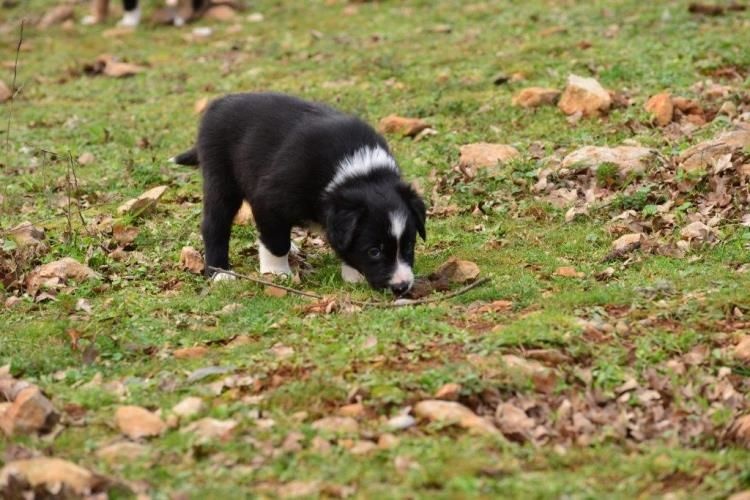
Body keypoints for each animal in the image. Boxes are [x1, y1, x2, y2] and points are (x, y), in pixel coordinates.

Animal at [173, 92, 426, 294]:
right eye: (374, 251)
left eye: (409, 246)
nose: (401, 287)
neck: (358, 174)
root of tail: (219, 103)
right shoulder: (269, 199)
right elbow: (276, 242)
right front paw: (276, 273)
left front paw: (352, 273)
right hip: (221, 179)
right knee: (215, 225)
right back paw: (220, 273)